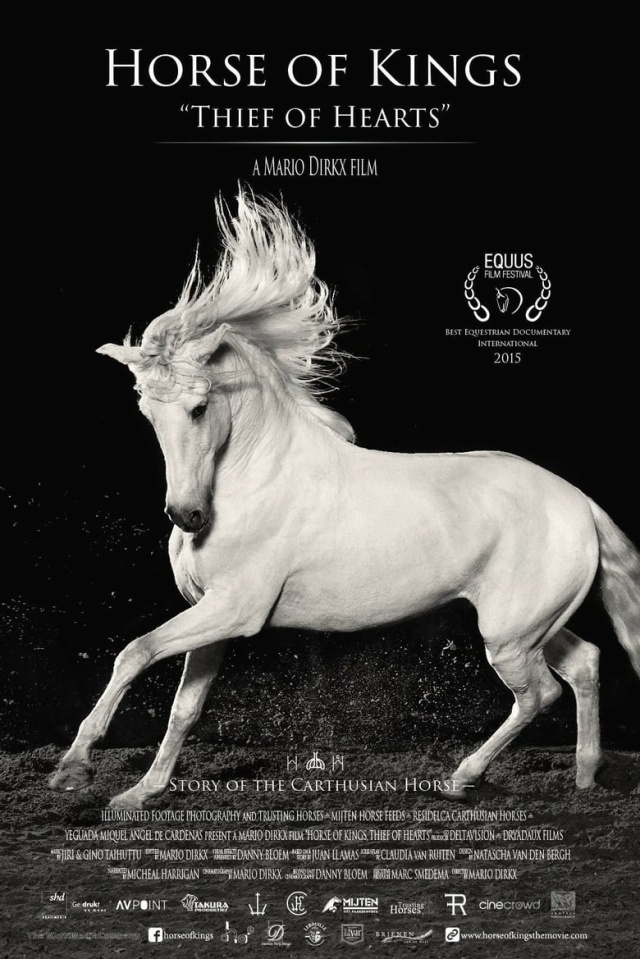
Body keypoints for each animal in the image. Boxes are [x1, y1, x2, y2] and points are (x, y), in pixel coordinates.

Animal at [49, 191, 640, 808]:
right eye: (146, 409)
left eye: (199, 406)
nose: (188, 516)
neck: (257, 478)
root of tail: (579, 502)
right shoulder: (208, 614)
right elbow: (183, 709)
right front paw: (141, 793)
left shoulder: (235, 609)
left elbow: (135, 651)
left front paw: (74, 767)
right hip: (530, 625)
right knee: (585, 663)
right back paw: (585, 775)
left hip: (509, 635)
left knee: (539, 694)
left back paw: (463, 777)